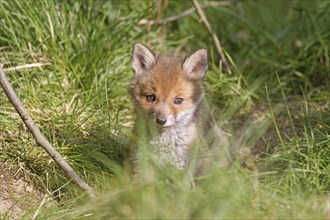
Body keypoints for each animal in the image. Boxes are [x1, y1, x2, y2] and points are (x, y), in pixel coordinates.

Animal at [130, 43, 229, 176]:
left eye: (178, 100)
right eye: (150, 97)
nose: (161, 120)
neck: (163, 144)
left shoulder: (180, 169)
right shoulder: (141, 162)